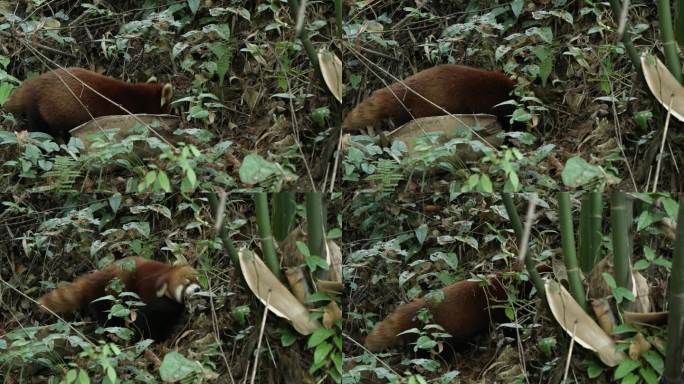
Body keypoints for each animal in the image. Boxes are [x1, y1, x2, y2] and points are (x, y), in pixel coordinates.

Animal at [37, 256, 199, 340]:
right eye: (187, 283)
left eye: (197, 280)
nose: (198, 289)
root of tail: (94, 278)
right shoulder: (149, 298)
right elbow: (145, 322)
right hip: (107, 296)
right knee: (106, 316)